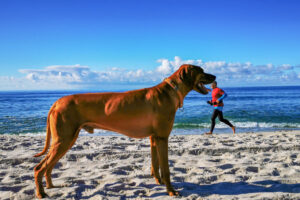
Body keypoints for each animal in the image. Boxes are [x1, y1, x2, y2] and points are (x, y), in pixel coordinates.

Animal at [33, 63, 216, 197]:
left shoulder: (154, 138)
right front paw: (170, 190)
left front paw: (158, 181)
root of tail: (57, 102)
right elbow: (166, 168)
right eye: (201, 71)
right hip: (64, 139)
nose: (215, 77)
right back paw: (41, 193)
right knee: (39, 168)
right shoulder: (162, 137)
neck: (171, 90)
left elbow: (155, 163)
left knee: (48, 165)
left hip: (66, 139)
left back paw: (50, 185)